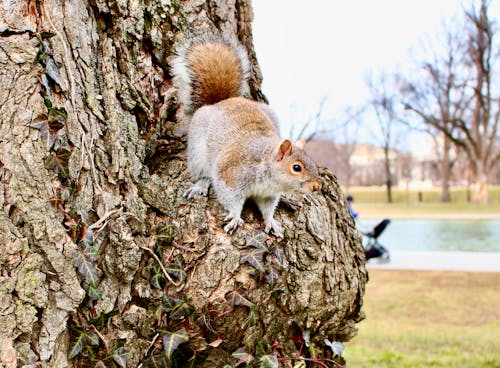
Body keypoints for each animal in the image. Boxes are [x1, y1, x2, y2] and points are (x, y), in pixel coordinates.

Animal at [171, 33, 320, 236]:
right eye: (296, 167)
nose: (317, 186)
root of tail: (221, 102)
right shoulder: (230, 174)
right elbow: (230, 197)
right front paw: (235, 216)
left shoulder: (268, 195)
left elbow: (267, 208)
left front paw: (271, 221)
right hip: (197, 148)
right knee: (202, 172)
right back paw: (200, 185)